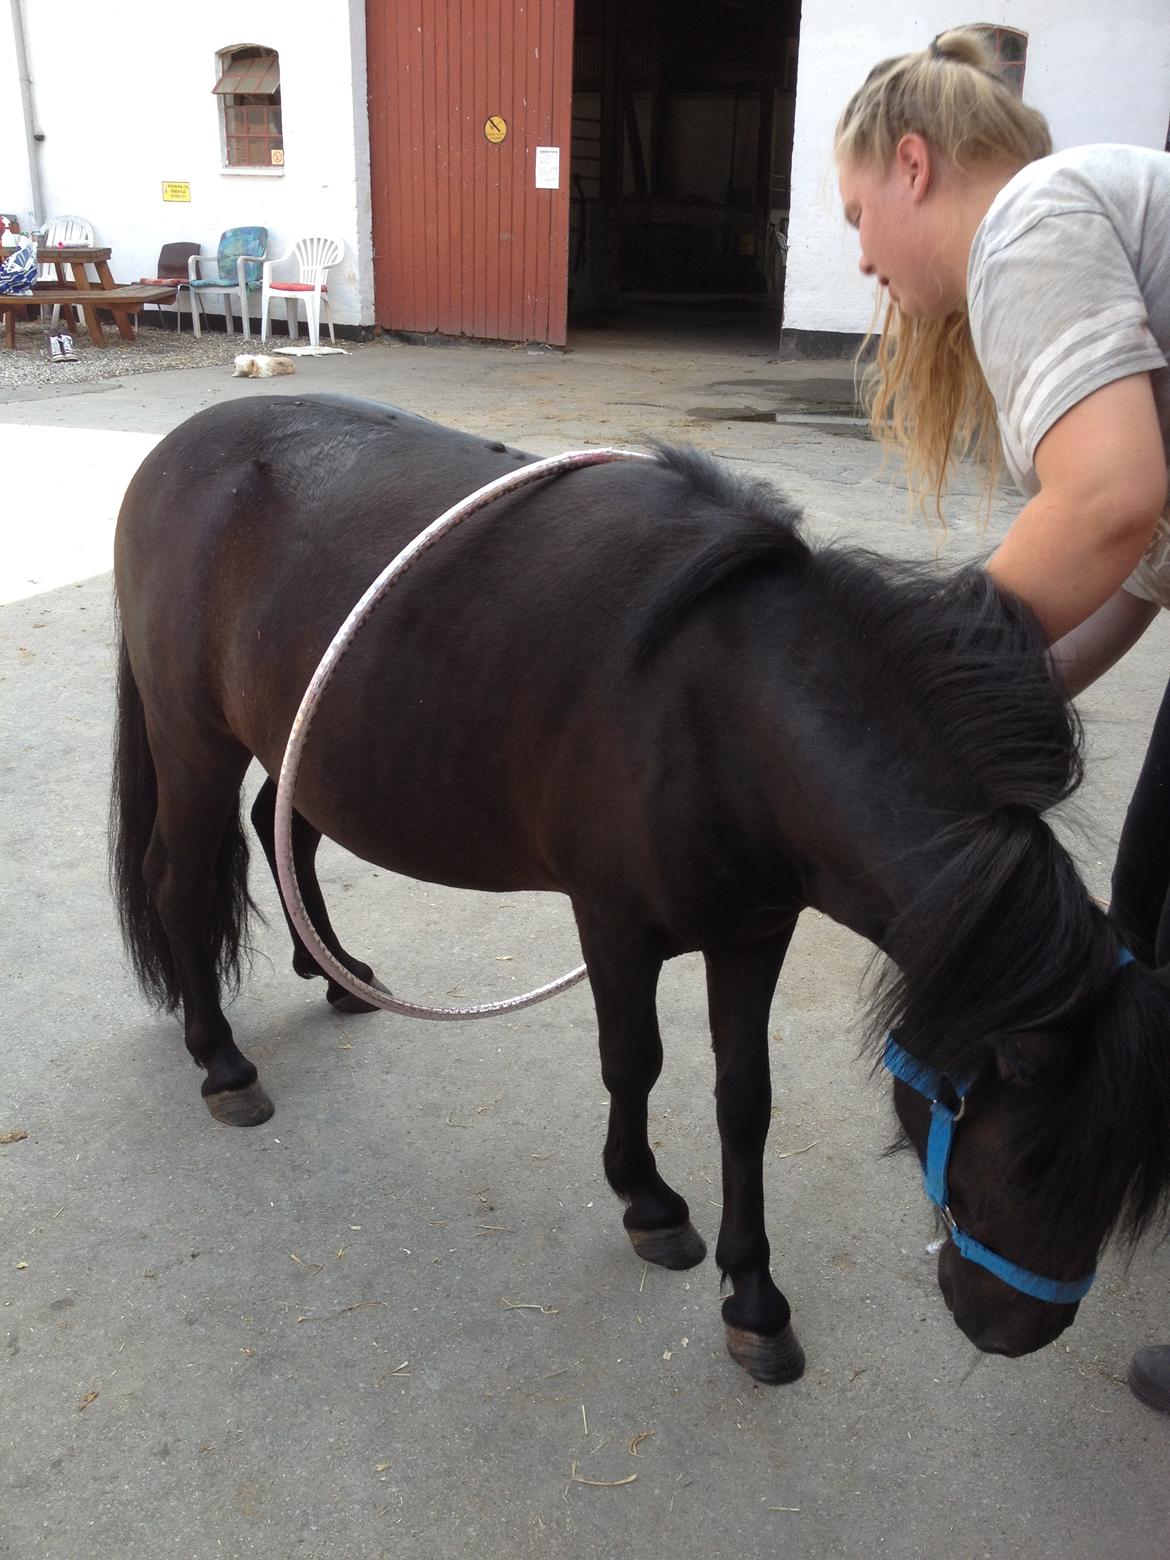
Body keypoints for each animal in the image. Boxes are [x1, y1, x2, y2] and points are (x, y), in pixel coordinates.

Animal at [109, 396, 1170, 1385]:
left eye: (1122, 1171)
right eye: (1034, 1161)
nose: (1016, 1331)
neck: (724, 715)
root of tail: (177, 449)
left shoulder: (755, 932)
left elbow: (744, 1100)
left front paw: (755, 1299)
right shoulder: (613, 925)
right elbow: (635, 1063)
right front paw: (648, 1201)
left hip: (301, 744)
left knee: (279, 829)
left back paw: (334, 973)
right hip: (193, 738)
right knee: (178, 880)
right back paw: (222, 1061)